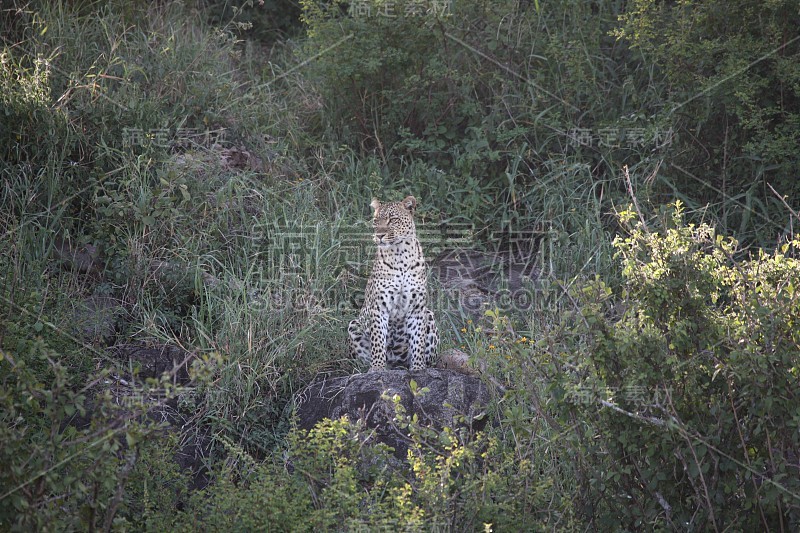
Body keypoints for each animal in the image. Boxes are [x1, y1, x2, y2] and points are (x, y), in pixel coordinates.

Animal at [348, 194, 440, 370]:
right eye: (376, 221)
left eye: (392, 219)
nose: (379, 236)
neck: (400, 255)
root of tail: (395, 361)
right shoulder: (379, 307)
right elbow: (378, 341)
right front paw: (377, 368)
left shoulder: (417, 307)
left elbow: (418, 341)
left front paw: (418, 368)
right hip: (354, 324)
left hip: (429, 315)